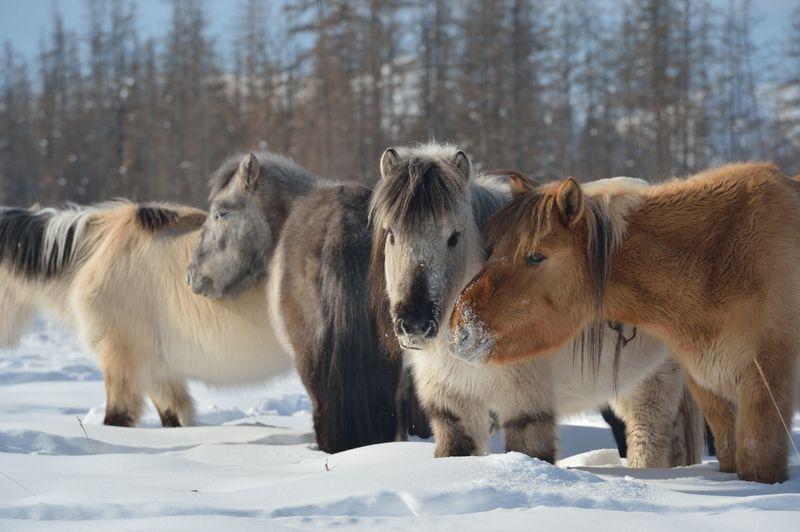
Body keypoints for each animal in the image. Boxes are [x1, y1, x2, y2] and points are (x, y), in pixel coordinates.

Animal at [450, 162, 800, 482]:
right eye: (493, 249)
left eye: (536, 256)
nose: (460, 331)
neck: (717, 260)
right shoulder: (712, 390)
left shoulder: (764, 387)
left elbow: (757, 463)